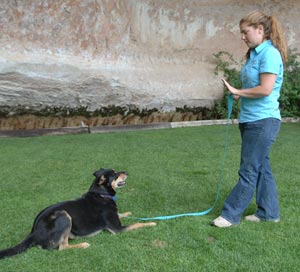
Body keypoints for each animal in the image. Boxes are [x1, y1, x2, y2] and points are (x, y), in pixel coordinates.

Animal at [0, 168, 156, 260]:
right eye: (116, 174)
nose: (127, 173)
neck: (101, 194)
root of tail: (33, 231)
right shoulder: (116, 229)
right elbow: (137, 223)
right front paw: (151, 222)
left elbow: (123, 214)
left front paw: (128, 212)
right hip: (63, 216)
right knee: (62, 247)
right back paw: (82, 245)